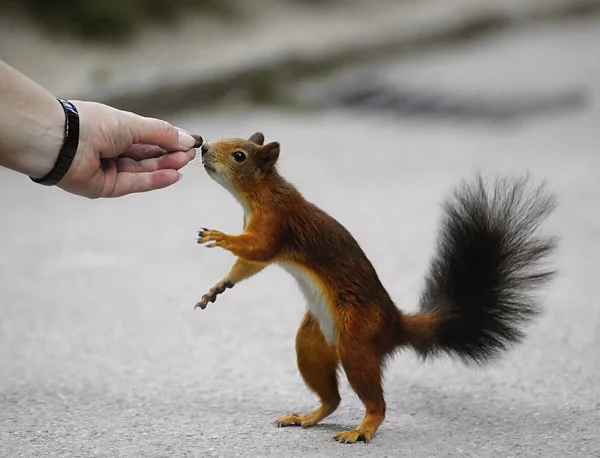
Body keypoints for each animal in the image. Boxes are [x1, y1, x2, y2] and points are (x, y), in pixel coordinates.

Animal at [192, 132, 556, 444]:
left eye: (239, 155)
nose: (204, 147)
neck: (260, 193)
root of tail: (394, 324)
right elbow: (248, 265)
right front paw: (218, 287)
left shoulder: (276, 223)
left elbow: (257, 249)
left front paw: (219, 237)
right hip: (312, 342)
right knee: (332, 397)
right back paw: (307, 417)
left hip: (357, 339)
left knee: (374, 401)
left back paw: (363, 429)